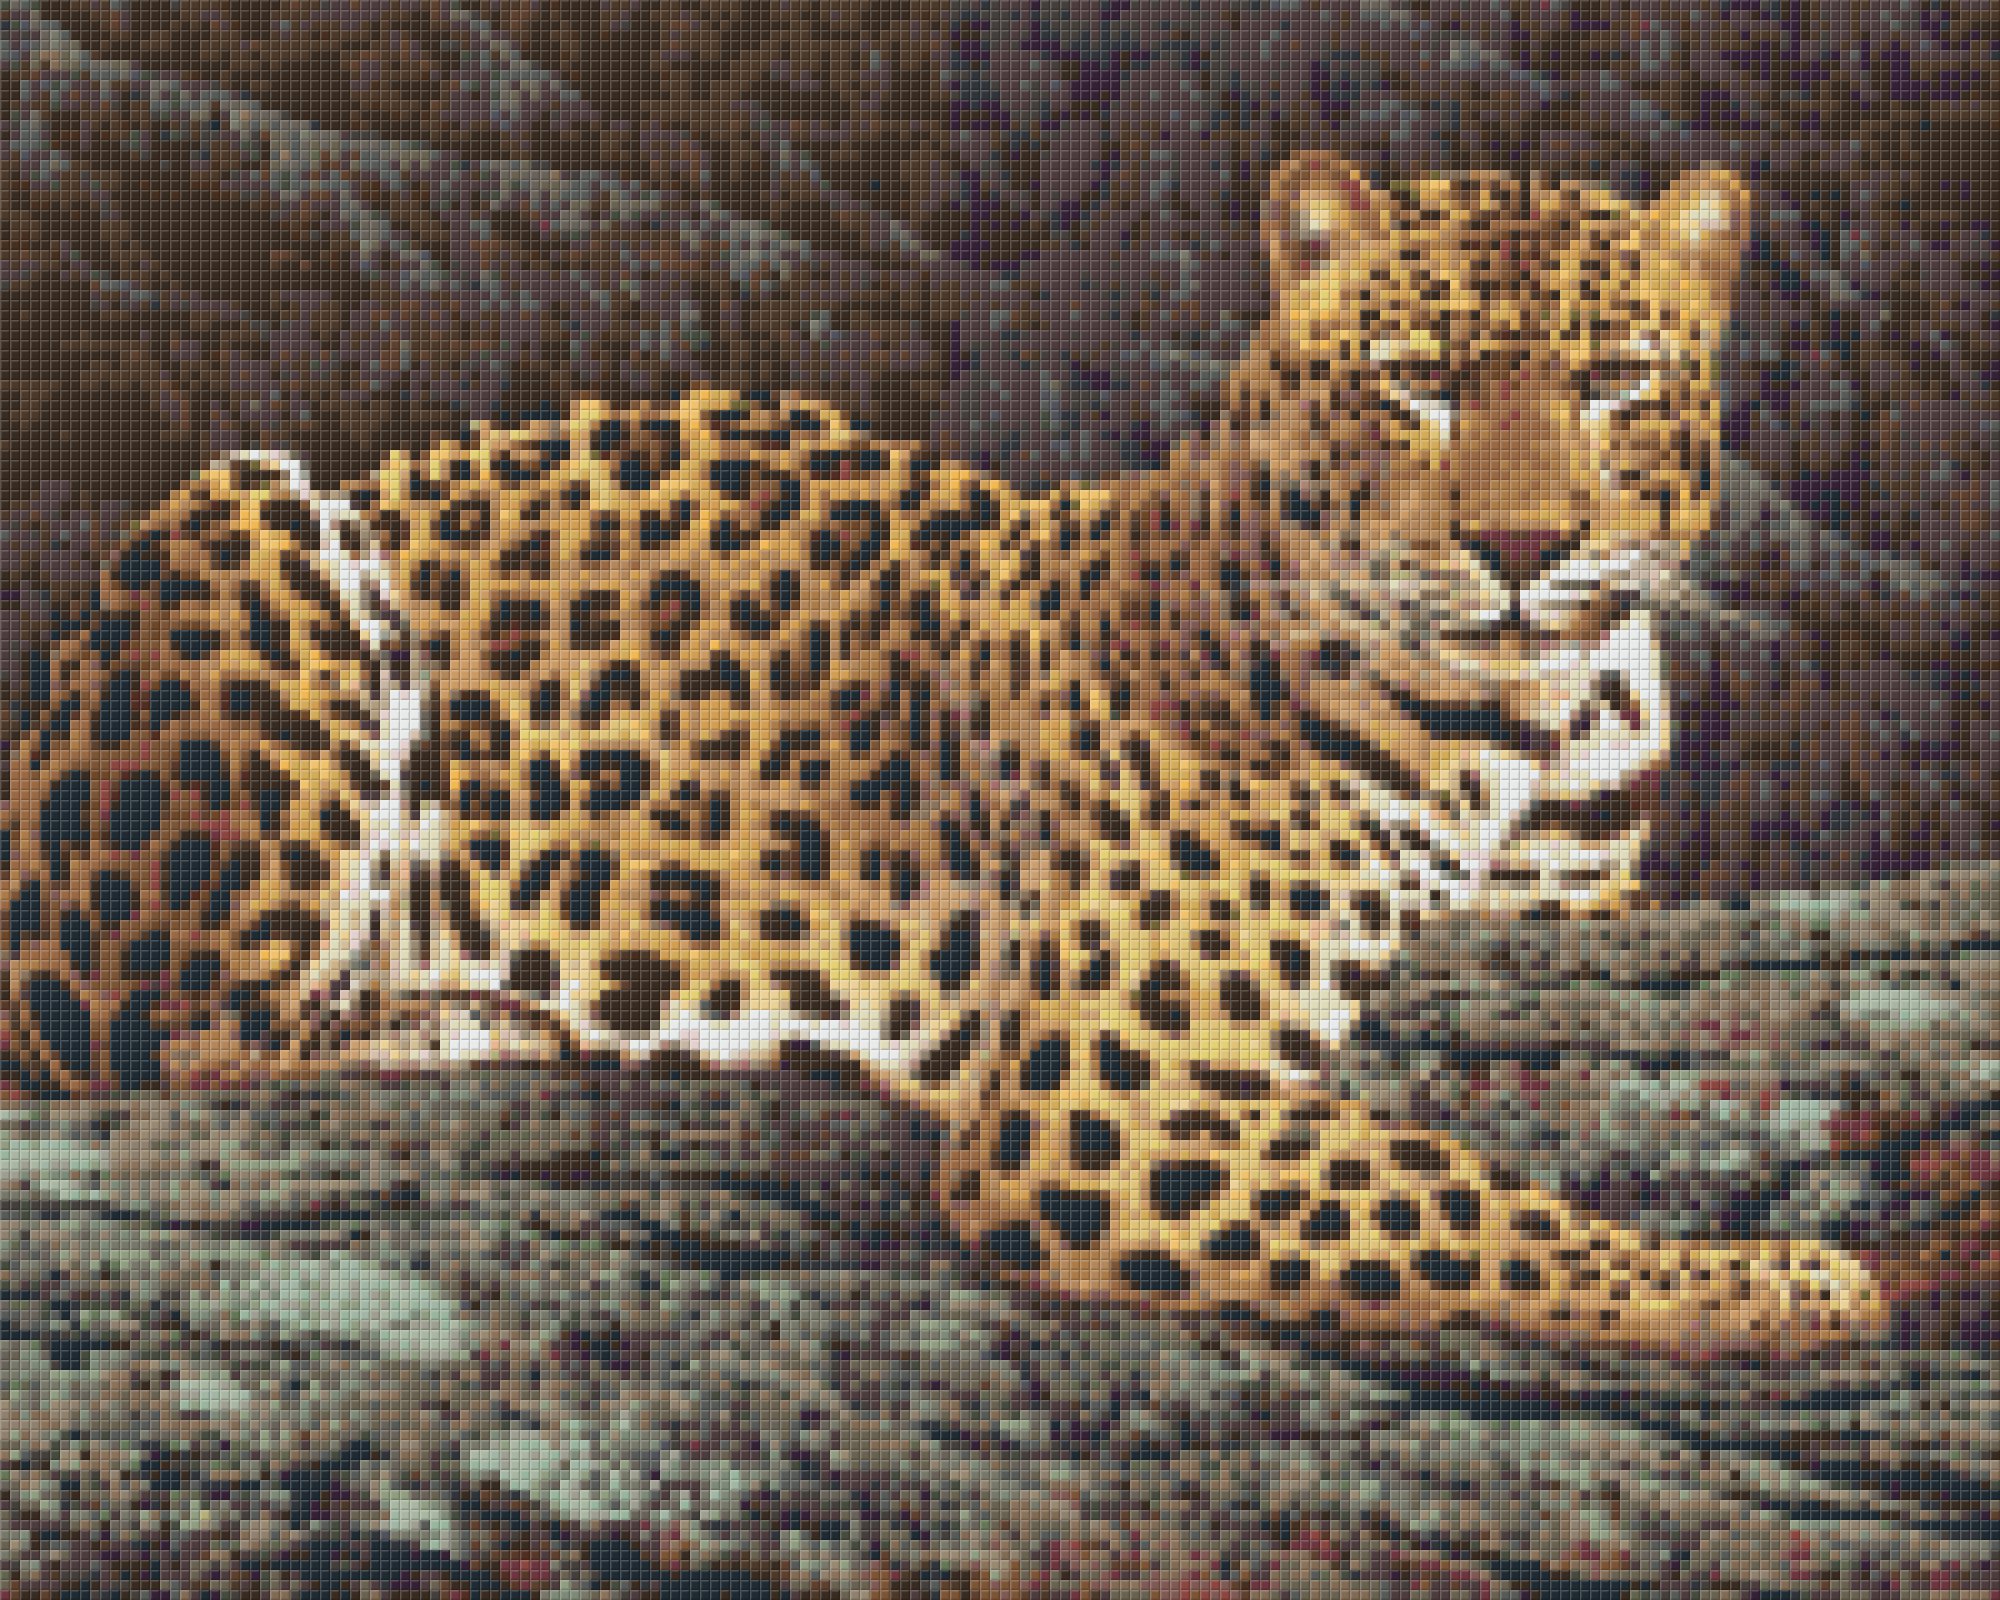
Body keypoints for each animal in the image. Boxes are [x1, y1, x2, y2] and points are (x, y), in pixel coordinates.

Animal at [0, 150, 1886, 1359]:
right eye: (1412, 381)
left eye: (1619, 380)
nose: (1522, 548)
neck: (1542, 723)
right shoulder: (1109, 1095)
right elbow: (1457, 1199)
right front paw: (1779, 1285)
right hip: (254, 517)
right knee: (158, 1036)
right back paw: (479, 1011)